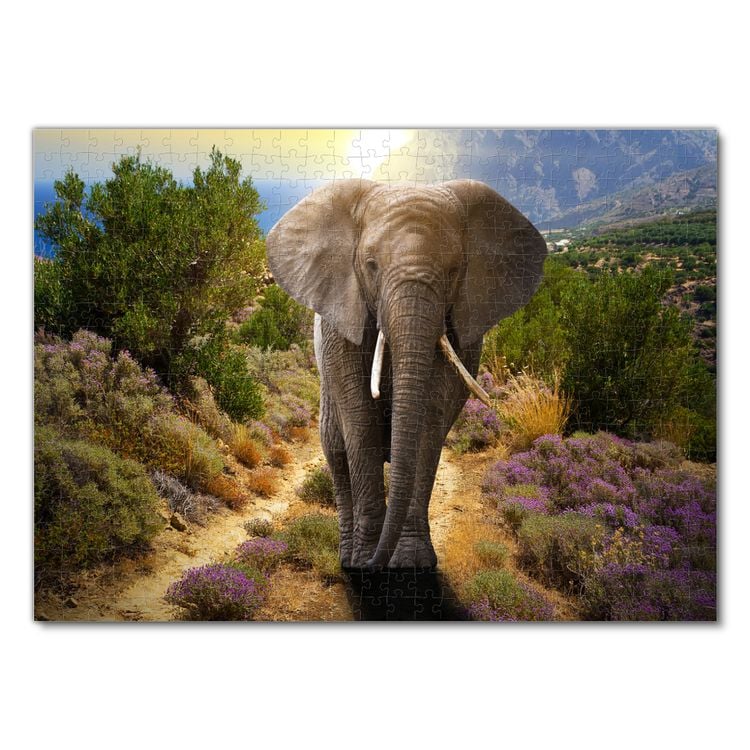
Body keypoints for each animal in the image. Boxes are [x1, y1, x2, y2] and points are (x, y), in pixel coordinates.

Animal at [266, 179, 546, 569]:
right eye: (371, 266)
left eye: (454, 270)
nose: (375, 563)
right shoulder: (342, 316)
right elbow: (360, 419)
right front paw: (364, 562)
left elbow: (430, 416)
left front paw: (411, 562)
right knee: (336, 450)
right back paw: (347, 556)